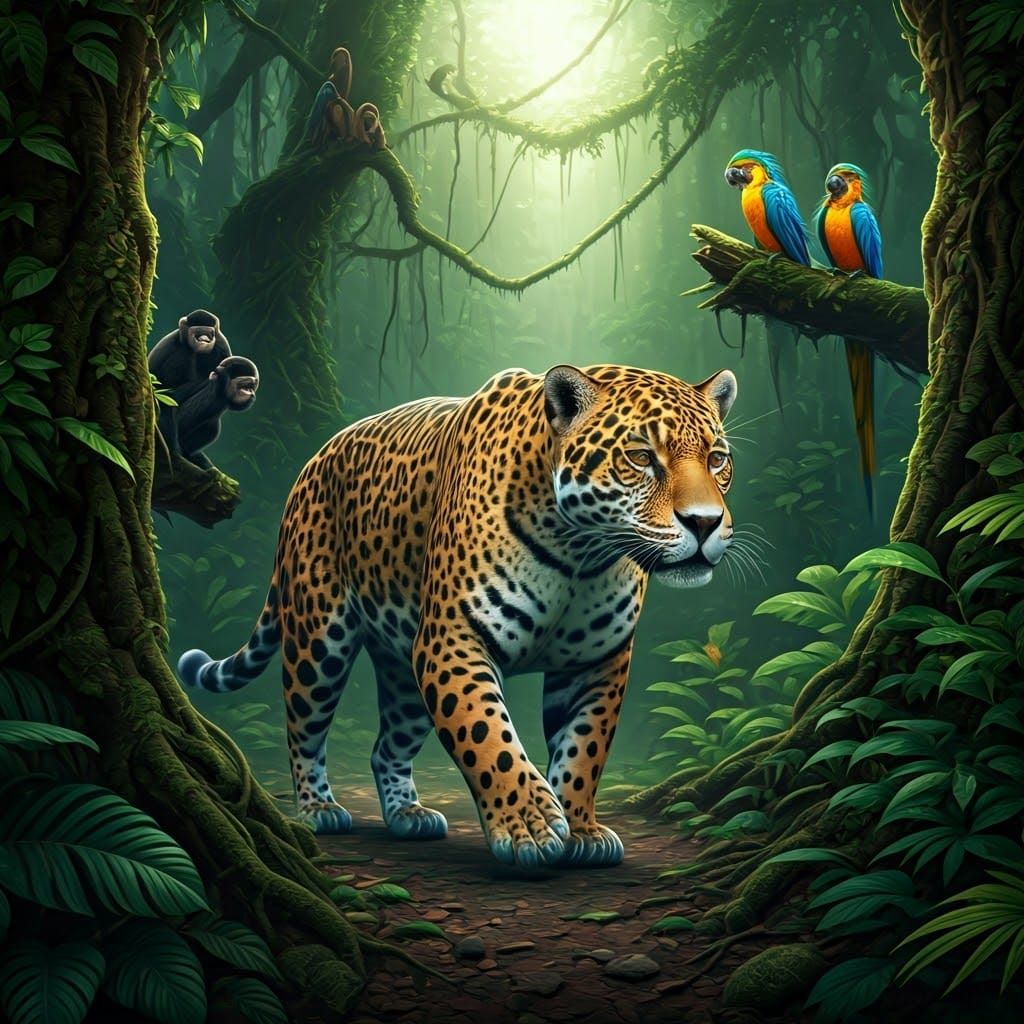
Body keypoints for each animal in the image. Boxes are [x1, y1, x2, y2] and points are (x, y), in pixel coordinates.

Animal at [178, 363, 738, 869]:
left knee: (387, 744)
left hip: (402, 665)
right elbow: (488, 735)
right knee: (302, 726)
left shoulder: (597, 662)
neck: (580, 553)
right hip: (318, 638)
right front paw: (530, 825)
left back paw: (409, 815)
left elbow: (584, 750)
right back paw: (319, 809)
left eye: (716, 459)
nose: (705, 523)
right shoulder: (453, 640)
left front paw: (580, 830)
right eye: (641, 457)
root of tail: (313, 461)